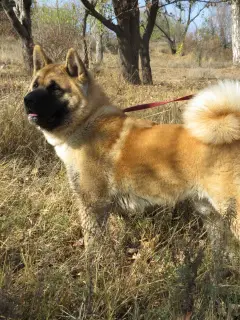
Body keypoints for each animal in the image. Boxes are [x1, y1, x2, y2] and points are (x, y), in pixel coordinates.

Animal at [23, 45, 240, 250]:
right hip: (210, 214)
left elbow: (93, 245)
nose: (27, 99)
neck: (88, 122)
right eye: (35, 85)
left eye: (55, 89)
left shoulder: (92, 205)